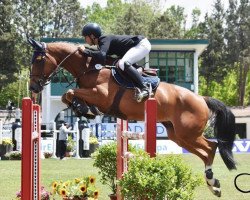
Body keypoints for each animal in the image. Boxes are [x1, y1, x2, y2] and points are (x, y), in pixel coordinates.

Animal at [27, 38, 236, 197]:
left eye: (38, 60)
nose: (33, 88)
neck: (90, 68)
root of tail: (202, 98)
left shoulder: (101, 94)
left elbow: (69, 92)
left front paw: (84, 108)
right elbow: (67, 95)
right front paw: (83, 109)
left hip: (188, 133)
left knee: (211, 148)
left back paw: (212, 182)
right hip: (178, 135)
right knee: (206, 151)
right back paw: (213, 184)